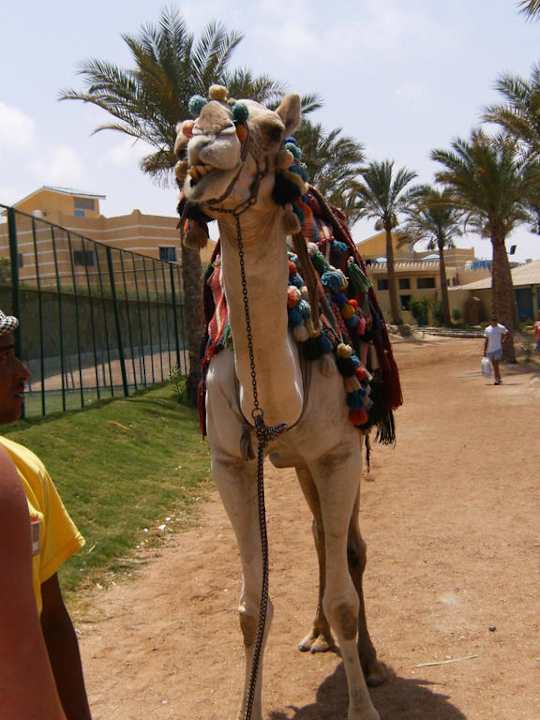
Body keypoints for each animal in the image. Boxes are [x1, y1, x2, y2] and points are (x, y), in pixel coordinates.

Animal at [175, 89, 388, 720]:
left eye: (271, 129)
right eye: (184, 129)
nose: (206, 143)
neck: (274, 401)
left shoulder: (339, 454)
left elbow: (346, 593)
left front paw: (361, 706)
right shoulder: (232, 463)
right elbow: (252, 609)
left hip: (343, 449)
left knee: (348, 547)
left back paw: (367, 660)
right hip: (297, 464)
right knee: (320, 536)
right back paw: (316, 634)